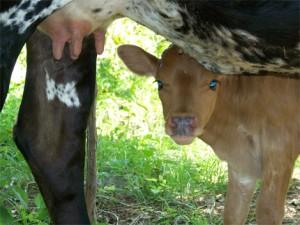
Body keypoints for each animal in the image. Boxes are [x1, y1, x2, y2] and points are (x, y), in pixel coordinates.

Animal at [118, 44, 300, 224]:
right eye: (159, 83)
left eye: (213, 83)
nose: (182, 122)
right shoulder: (241, 164)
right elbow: (233, 211)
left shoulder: (280, 153)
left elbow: (268, 212)